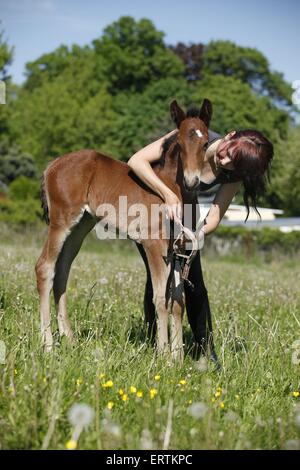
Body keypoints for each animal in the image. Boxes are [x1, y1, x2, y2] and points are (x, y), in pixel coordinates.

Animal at [35, 99, 213, 360]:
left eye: (206, 143)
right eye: (179, 143)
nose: (192, 182)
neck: (170, 189)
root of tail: (51, 165)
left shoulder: (177, 249)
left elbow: (178, 300)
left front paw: (177, 357)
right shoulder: (154, 245)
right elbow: (161, 298)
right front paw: (164, 356)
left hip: (80, 226)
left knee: (62, 271)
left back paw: (70, 340)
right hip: (61, 221)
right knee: (45, 268)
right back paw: (48, 345)